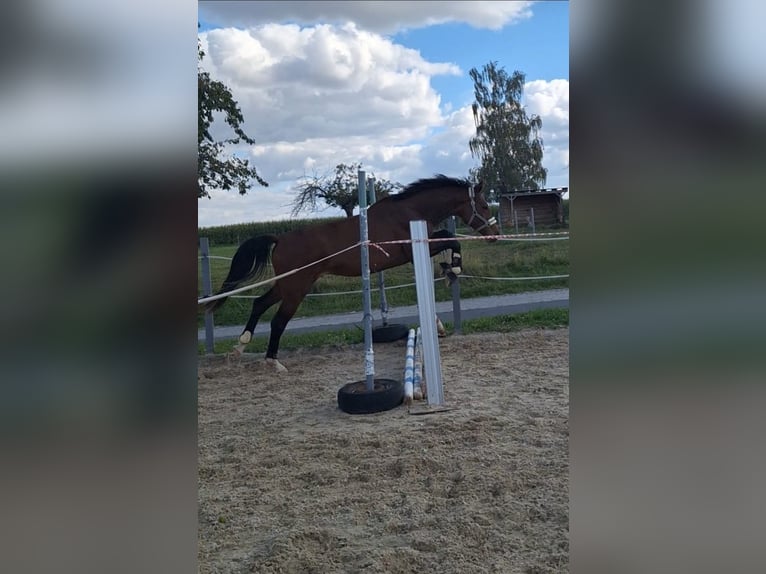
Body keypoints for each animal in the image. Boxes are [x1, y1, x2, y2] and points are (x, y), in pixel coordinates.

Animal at [205, 175, 499, 372]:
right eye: (485, 206)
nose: (495, 235)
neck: (411, 211)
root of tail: (280, 239)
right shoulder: (415, 248)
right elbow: (452, 239)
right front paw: (453, 268)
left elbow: (446, 243)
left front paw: (447, 274)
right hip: (297, 288)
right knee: (277, 321)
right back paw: (273, 362)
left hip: (286, 286)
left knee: (258, 304)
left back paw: (239, 348)